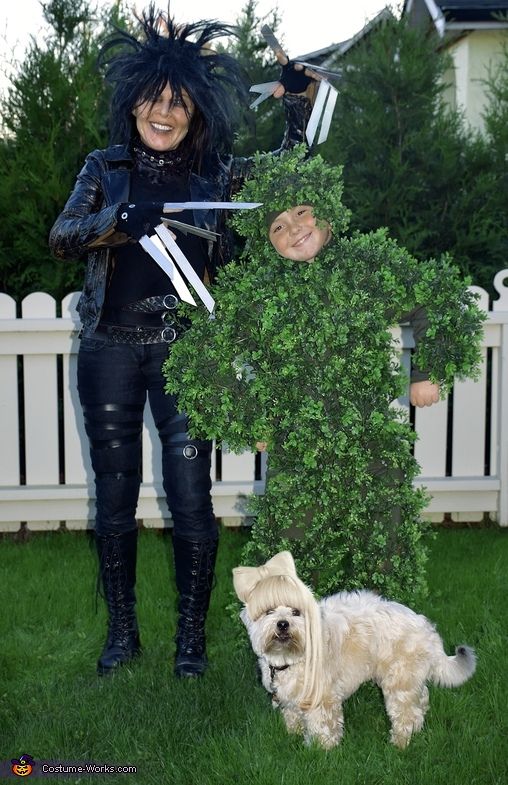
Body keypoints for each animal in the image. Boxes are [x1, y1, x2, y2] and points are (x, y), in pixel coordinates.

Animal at [234, 552, 476, 748]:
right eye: (269, 611)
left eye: (296, 612)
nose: (282, 624)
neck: (290, 658)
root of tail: (427, 629)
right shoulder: (290, 696)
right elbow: (292, 715)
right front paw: (293, 734)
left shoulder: (323, 698)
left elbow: (323, 727)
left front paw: (321, 749)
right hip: (410, 679)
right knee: (421, 700)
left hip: (398, 682)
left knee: (406, 714)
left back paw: (399, 743)